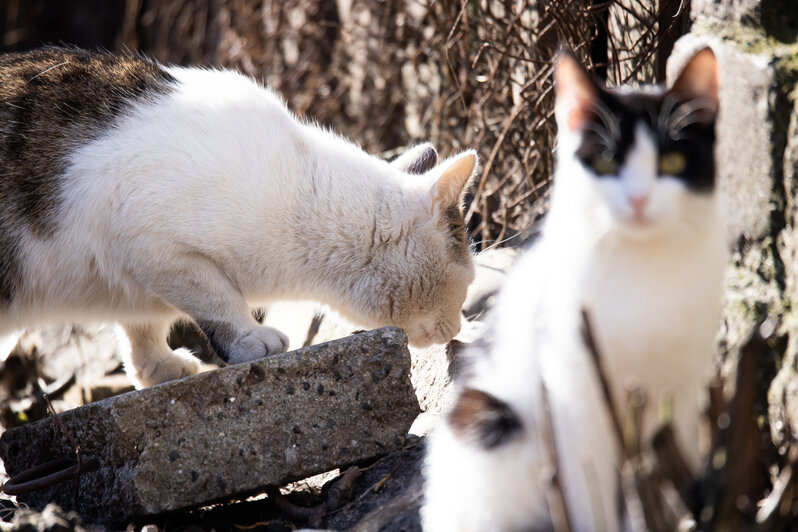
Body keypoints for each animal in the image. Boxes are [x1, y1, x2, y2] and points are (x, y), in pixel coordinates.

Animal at [0, 47, 478, 388]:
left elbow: (143, 323)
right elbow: (217, 297)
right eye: (468, 282)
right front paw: (249, 338)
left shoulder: (139, 276)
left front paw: (156, 367)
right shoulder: (149, 240)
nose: (457, 326)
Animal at [424, 47, 732, 528]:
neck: (641, 269)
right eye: (606, 162)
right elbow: (593, 494)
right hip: (492, 427)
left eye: (672, 164)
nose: (639, 200)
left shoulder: (680, 390)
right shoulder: (574, 398)